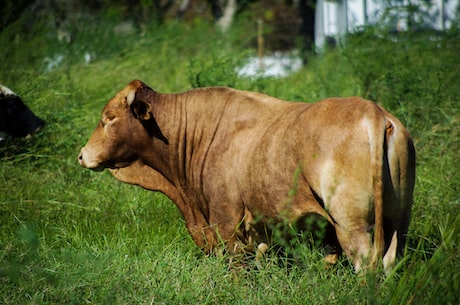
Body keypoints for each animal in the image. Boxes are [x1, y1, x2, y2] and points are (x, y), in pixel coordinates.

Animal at [77, 79, 416, 270]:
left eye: (108, 118)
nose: (82, 154)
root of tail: (373, 111)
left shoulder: (227, 223)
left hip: (351, 225)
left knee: (366, 264)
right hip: (397, 222)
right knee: (389, 260)